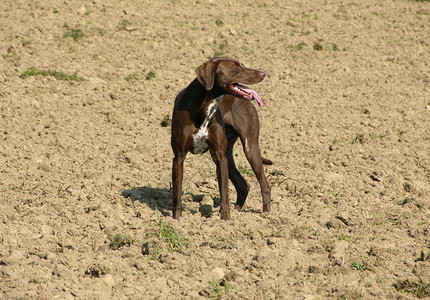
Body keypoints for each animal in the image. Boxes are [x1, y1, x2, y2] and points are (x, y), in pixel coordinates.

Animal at [170, 56, 272, 220]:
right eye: (236, 69)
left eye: (243, 65)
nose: (263, 74)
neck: (203, 107)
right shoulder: (179, 157)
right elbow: (177, 191)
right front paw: (177, 219)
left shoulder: (220, 157)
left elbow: (224, 191)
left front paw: (225, 219)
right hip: (228, 155)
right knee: (243, 185)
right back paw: (238, 211)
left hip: (250, 148)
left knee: (265, 185)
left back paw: (267, 215)